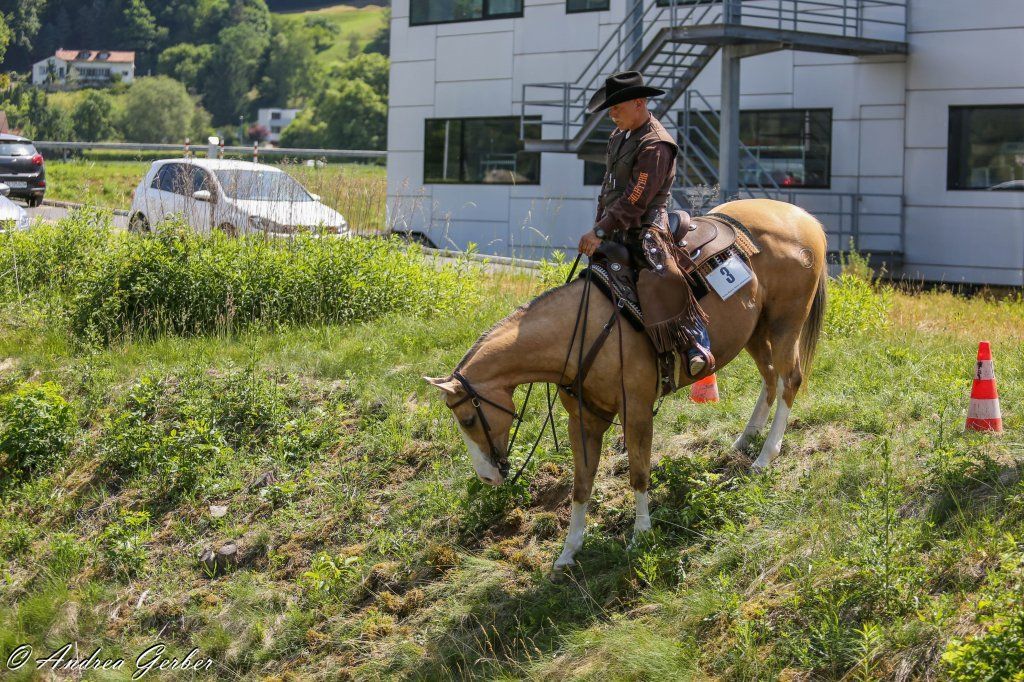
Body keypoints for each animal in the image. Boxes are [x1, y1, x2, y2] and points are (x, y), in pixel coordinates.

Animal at [425, 198, 827, 569]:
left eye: (468, 419)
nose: (487, 478)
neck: (583, 330)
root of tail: (805, 219)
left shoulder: (636, 411)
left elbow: (638, 473)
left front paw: (640, 535)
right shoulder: (584, 420)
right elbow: (581, 484)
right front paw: (568, 552)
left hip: (785, 321)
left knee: (789, 379)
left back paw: (765, 456)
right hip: (756, 330)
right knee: (770, 378)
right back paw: (745, 440)